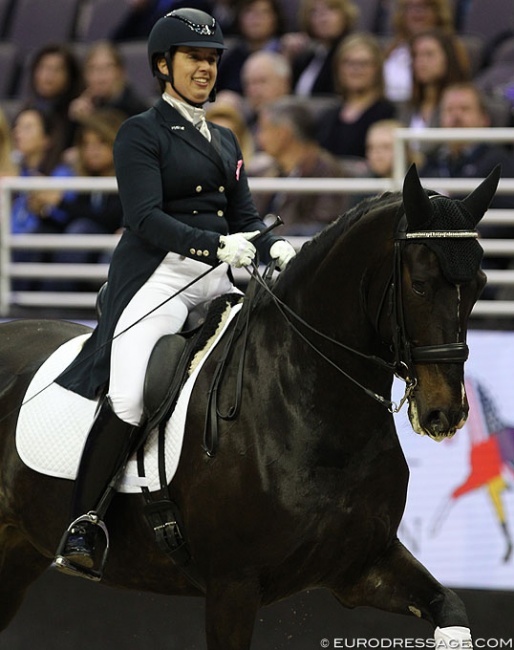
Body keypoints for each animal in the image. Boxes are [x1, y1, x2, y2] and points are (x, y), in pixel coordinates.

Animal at [0, 165, 498, 644]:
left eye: (479, 285)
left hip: (19, 554)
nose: (446, 413)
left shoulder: (363, 566)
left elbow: (451, 610)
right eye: (420, 284)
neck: (311, 409)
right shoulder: (232, 587)